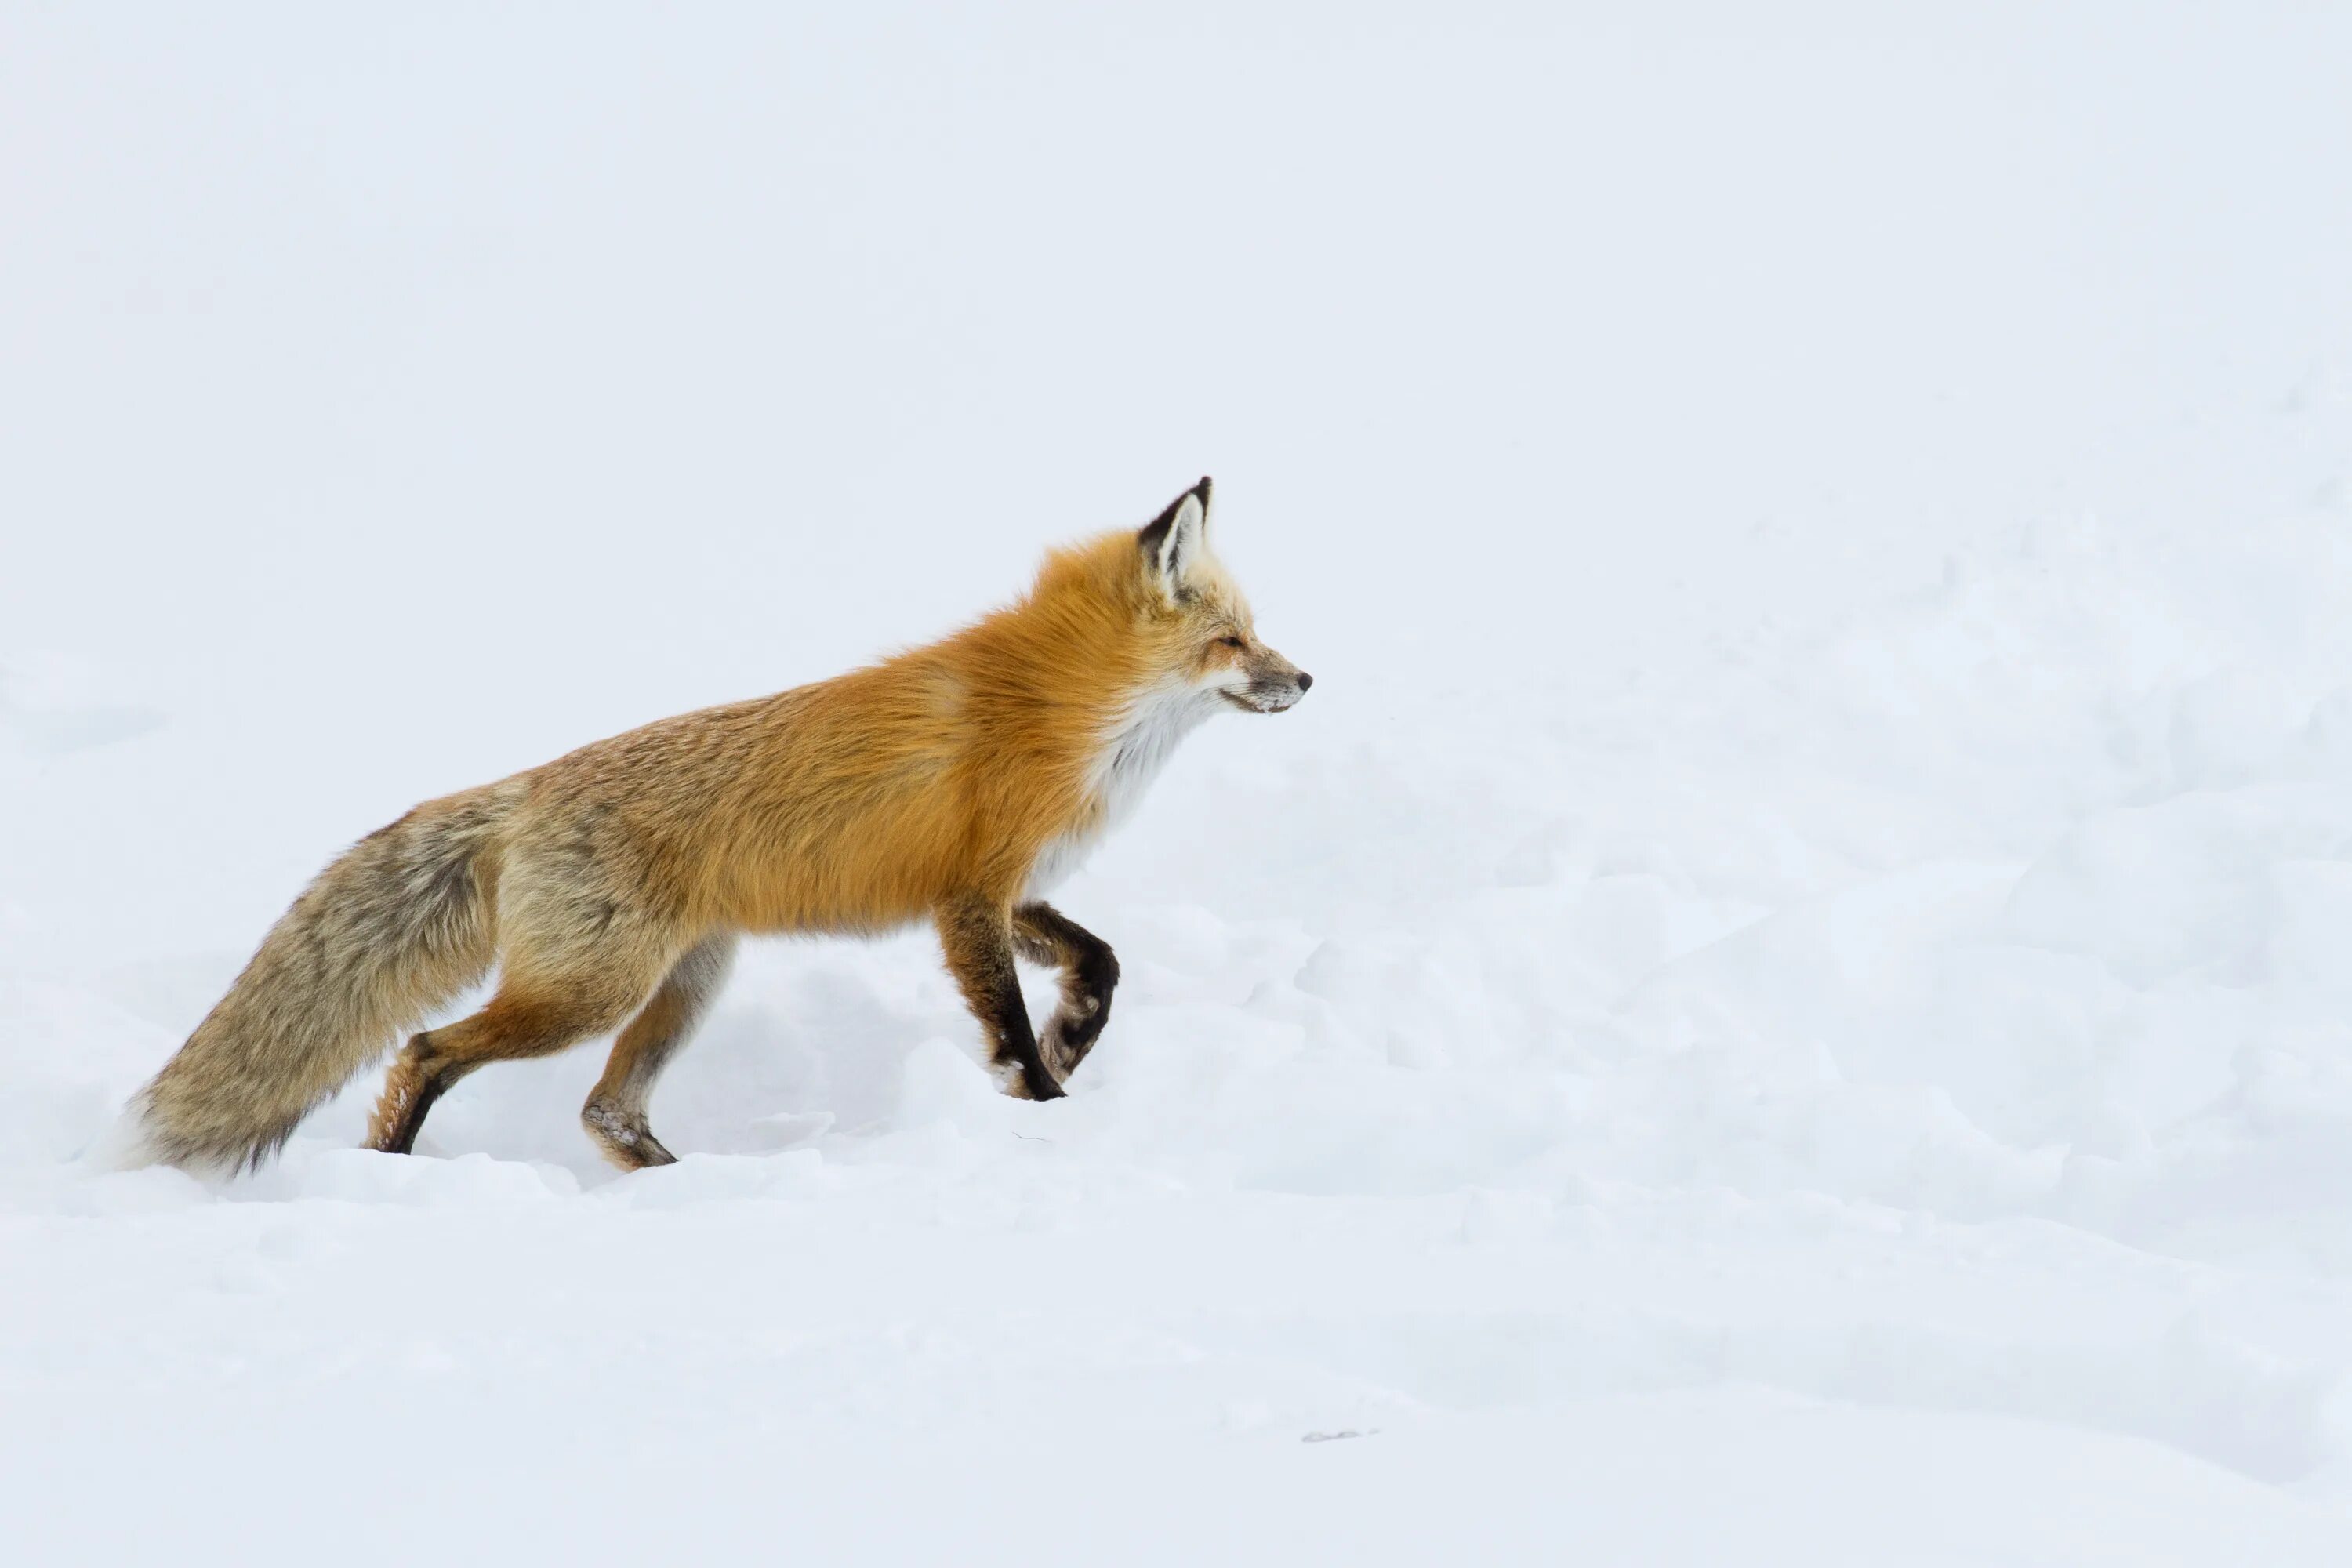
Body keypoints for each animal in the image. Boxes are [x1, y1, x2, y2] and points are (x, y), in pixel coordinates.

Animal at [124, 481, 1308, 1175]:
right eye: (1234, 640)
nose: (1305, 679)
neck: (1062, 710)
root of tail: (527, 787)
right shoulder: (970, 895)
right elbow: (1010, 1025)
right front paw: (1049, 1103)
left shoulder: (991, 888)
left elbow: (1100, 961)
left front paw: (1073, 1037)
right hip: (592, 992)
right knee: (424, 1051)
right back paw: (392, 1167)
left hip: (684, 986)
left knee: (604, 1110)